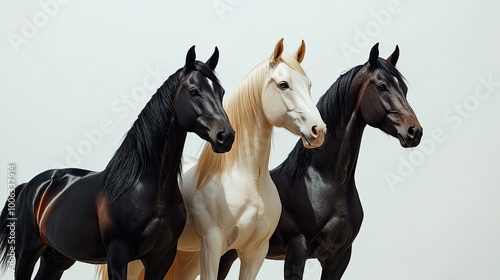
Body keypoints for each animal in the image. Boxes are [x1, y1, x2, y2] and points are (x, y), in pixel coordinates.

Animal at [0, 44, 235, 278]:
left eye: (221, 92)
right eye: (194, 91)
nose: (226, 136)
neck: (149, 188)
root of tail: (32, 185)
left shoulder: (162, 258)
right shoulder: (118, 255)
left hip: (57, 258)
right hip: (27, 254)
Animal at [96, 38, 328, 280]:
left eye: (308, 85)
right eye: (283, 84)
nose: (318, 130)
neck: (248, 182)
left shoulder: (254, 253)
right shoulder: (213, 246)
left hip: (187, 258)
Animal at [218, 42, 422, 278]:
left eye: (404, 89)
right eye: (382, 87)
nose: (414, 131)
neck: (326, 182)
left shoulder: (339, 258)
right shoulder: (297, 249)